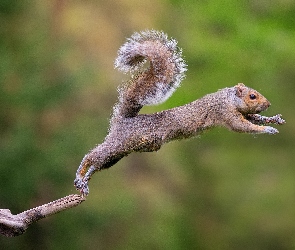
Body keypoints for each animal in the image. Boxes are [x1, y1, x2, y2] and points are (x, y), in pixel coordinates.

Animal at [74, 30, 286, 196]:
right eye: (252, 96)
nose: (268, 104)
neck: (228, 98)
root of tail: (124, 120)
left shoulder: (239, 112)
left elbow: (252, 118)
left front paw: (271, 119)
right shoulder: (225, 112)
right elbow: (243, 126)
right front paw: (267, 129)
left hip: (120, 152)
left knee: (100, 162)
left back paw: (86, 177)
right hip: (120, 143)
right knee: (93, 155)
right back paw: (80, 173)